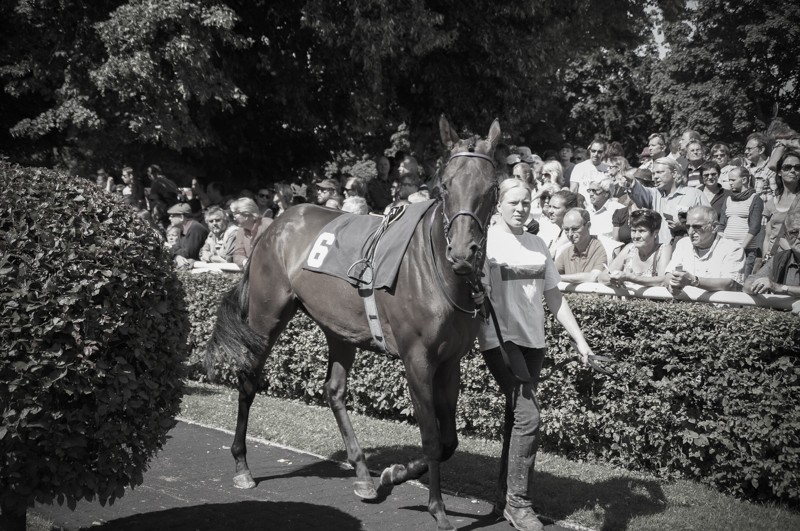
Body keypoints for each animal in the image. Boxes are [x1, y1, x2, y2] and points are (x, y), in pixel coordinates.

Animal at [205, 115, 501, 531]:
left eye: (490, 188)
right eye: (444, 185)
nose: (461, 253)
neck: (437, 272)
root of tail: (274, 225)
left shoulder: (450, 362)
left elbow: (448, 441)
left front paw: (394, 474)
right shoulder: (418, 360)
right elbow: (430, 437)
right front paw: (436, 508)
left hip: (339, 329)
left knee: (334, 391)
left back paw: (362, 474)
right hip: (266, 316)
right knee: (248, 380)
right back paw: (242, 466)